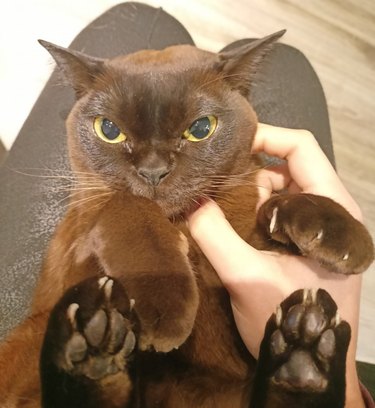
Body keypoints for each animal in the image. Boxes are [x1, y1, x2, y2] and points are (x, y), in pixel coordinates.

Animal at [0, 31, 374, 408]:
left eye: (201, 128)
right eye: (109, 130)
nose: (153, 171)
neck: (180, 224)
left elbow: (276, 206)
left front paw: (344, 236)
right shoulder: (79, 245)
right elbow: (126, 202)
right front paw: (166, 306)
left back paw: (305, 349)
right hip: (31, 335)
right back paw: (97, 336)